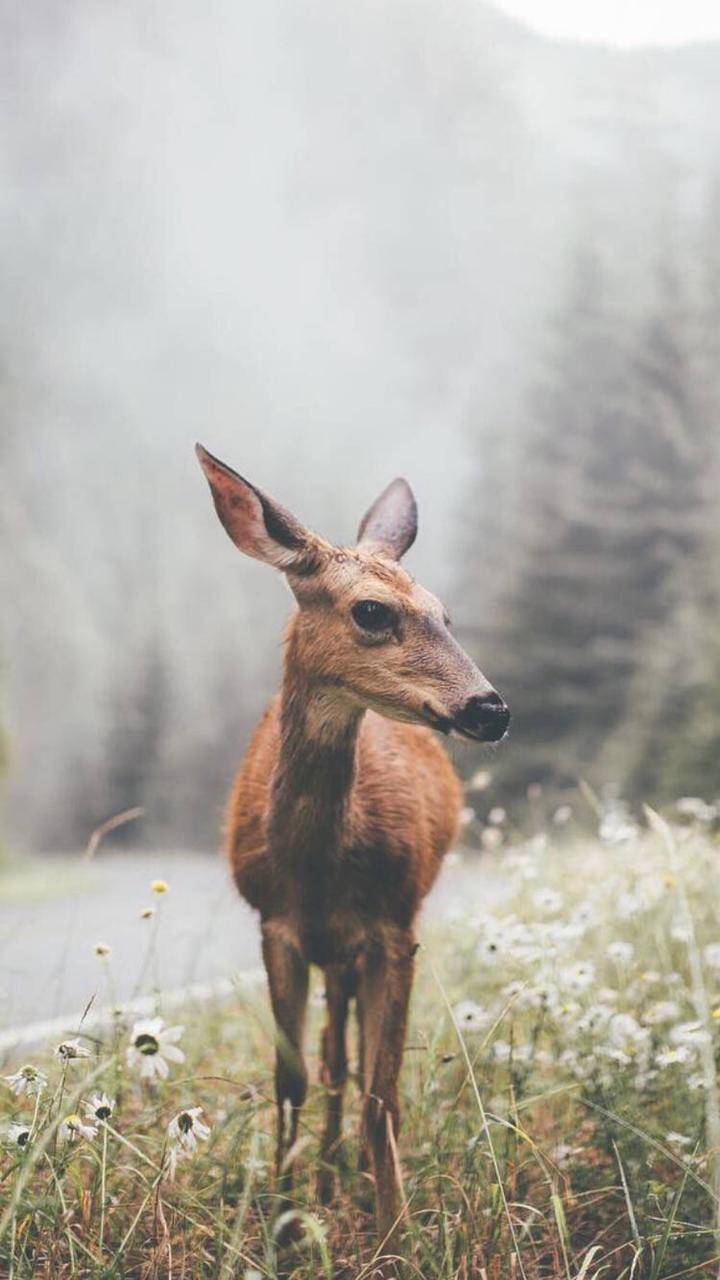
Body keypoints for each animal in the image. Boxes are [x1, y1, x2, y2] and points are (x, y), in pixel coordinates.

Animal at [193, 445, 507, 1254]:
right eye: (372, 611)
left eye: (445, 614)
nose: (491, 708)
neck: (316, 870)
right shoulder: (276, 925)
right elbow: (291, 1079)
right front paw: (281, 1226)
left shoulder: (395, 927)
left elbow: (382, 1090)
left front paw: (397, 1236)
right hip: (331, 953)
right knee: (332, 1057)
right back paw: (329, 1181)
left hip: (362, 945)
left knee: (353, 1059)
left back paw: (352, 1179)